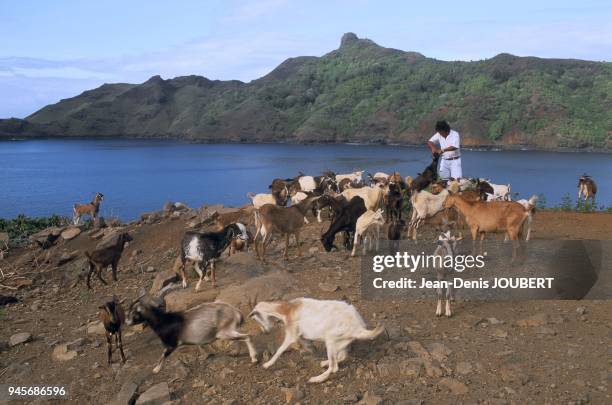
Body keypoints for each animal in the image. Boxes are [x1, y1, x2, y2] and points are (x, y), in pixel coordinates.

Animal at [126, 294, 256, 372]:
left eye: (134, 313)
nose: (127, 322)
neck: (164, 321)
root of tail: (236, 312)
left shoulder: (172, 344)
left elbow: (163, 355)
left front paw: (156, 370)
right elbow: (201, 346)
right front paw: (206, 355)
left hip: (223, 333)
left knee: (247, 336)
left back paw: (254, 359)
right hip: (230, 330)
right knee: (240, 338)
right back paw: (235, 353)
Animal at [247, 296, 382, 382]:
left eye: (255, 318)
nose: (266, 332)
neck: (288, 309)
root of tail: (359, 327)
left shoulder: (292, 334)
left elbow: (280, 350)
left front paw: (267, 365)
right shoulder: (302, 336)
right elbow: (308, 345)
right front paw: (311, 352)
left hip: (331, 340)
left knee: (334, 367)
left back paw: (316, 379)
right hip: (342, 341)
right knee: (341, 357)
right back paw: (324, 363)